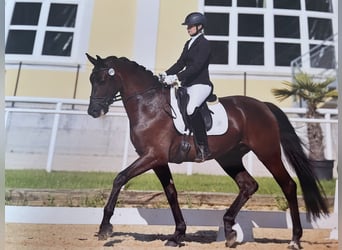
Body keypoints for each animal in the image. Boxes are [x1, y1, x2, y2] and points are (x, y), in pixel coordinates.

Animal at [86, 53, 328, 249]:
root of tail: (263, 105)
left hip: (267, 153)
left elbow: (120, 178)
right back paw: (229, 231)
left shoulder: (152, 156)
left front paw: (105, 227)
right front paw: (177, 235)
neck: (150, 106)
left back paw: (294, 239)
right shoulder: (158, 161)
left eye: (102, 80)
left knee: (288, 185)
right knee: (248, 185)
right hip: (229, 158)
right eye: (91, 80)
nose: (93, 111)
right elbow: (171, 193)